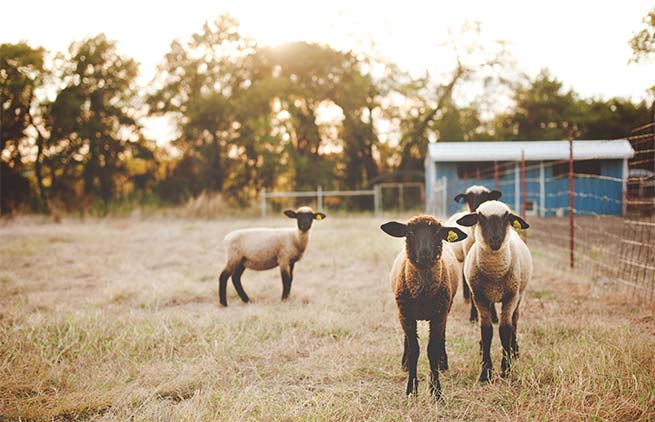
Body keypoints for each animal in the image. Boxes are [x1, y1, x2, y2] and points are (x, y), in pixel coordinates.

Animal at [382, 216, 468, 398]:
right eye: (411, 231)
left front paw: (436, 392)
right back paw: (405, 363)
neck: (422, 294)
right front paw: (411, 390)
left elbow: (432, 350)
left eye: (437, 232)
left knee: (442, 336)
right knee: (408, 339)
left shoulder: (439, 315)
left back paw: (443, 364)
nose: (425, 254)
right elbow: (414, 349)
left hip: (445, 309)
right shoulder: (406, 315)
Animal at [446, 185, 502, 324]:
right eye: (468, 198)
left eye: (485, 198)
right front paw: (473, 316)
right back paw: (466, 298)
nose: (477, 211)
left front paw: (494, 317)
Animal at [456, 201, 532, 382]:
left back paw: (515, 351)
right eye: (480, 218)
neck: (495, 273)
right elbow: (487, 331)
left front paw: (506, 370)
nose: (495, 241)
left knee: (515, 321)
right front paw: (485, 373)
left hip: (519, 295)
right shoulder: (479, 297)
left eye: (507, 218)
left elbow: (505, 330)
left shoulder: (510, 296)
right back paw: (482, 348)